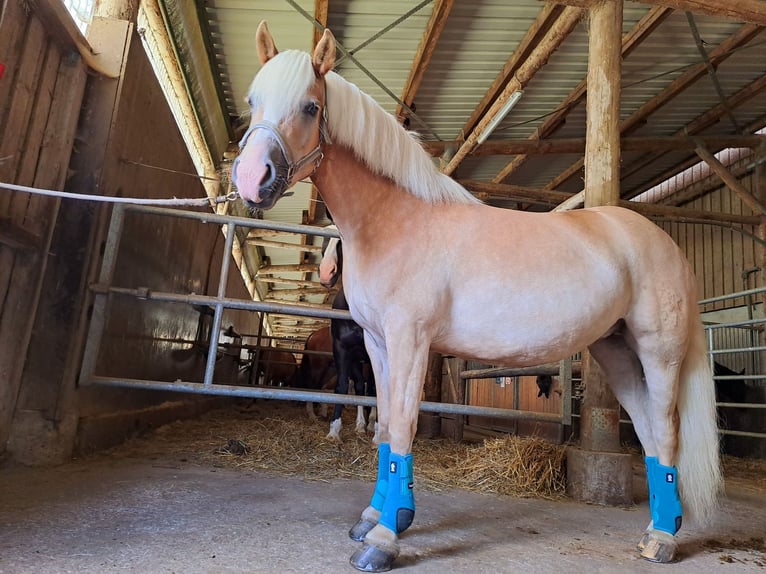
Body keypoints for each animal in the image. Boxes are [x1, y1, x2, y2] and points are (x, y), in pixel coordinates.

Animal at [318, 232, 378, 444]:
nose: (326, 272)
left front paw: (379, 435)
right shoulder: (342, 349)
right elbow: (343, 386)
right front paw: (334, 431)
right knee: (360, 386)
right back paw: (361, 425)